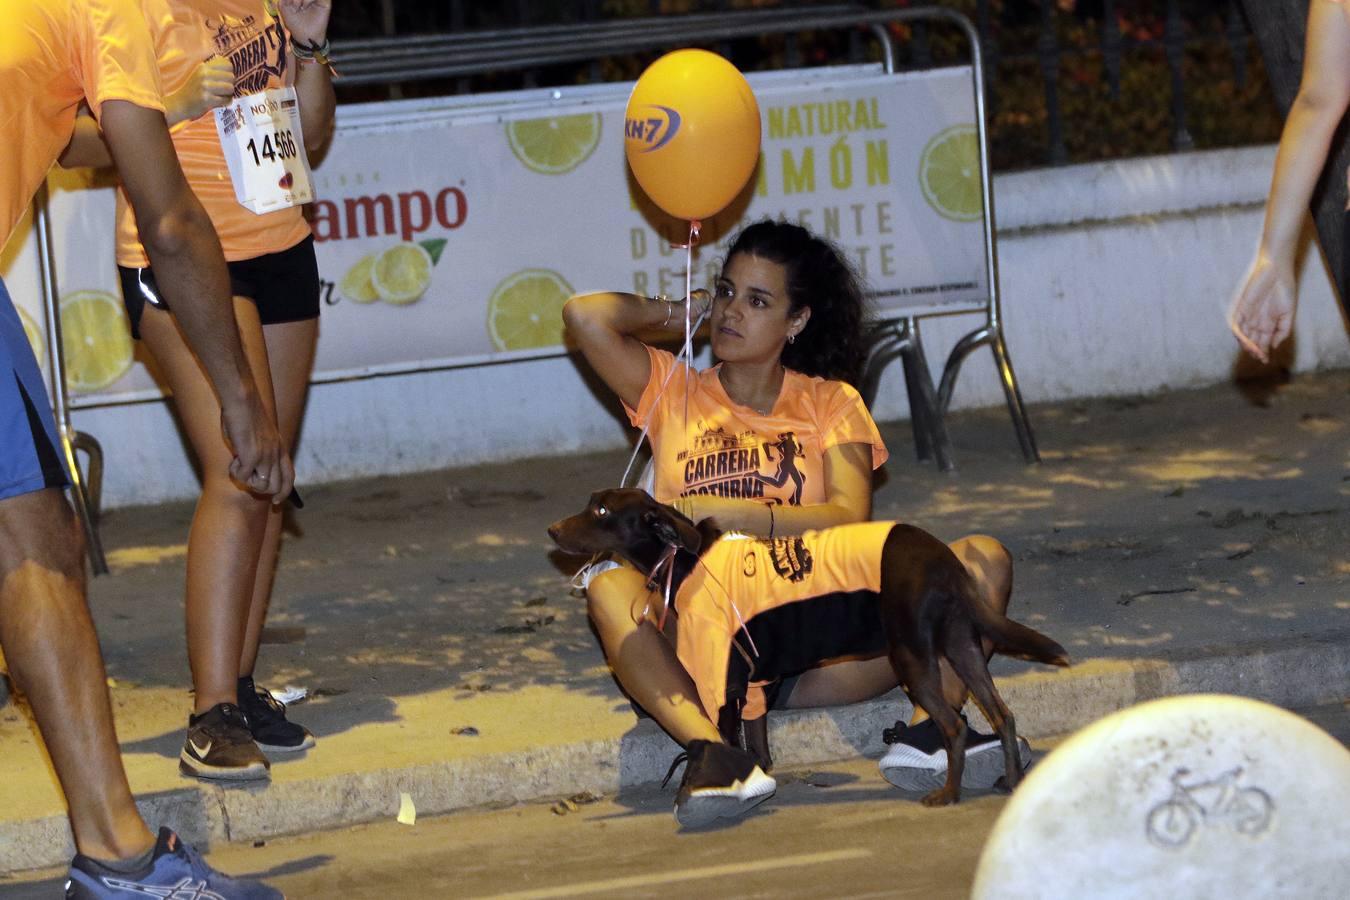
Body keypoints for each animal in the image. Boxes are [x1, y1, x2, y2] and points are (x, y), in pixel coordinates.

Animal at [545, 488, 1063, 804]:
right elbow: (758, 746)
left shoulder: (723, 682)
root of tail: (940, 556)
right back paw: (1012, 782)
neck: (686, 560)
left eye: (602, 512)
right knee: (1002, 714)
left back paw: (949, 794)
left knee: (954, 726)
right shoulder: (754, 686)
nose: (551, 531)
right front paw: (757, 780)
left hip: (913, 658)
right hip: (962, 649)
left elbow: (727, 736)